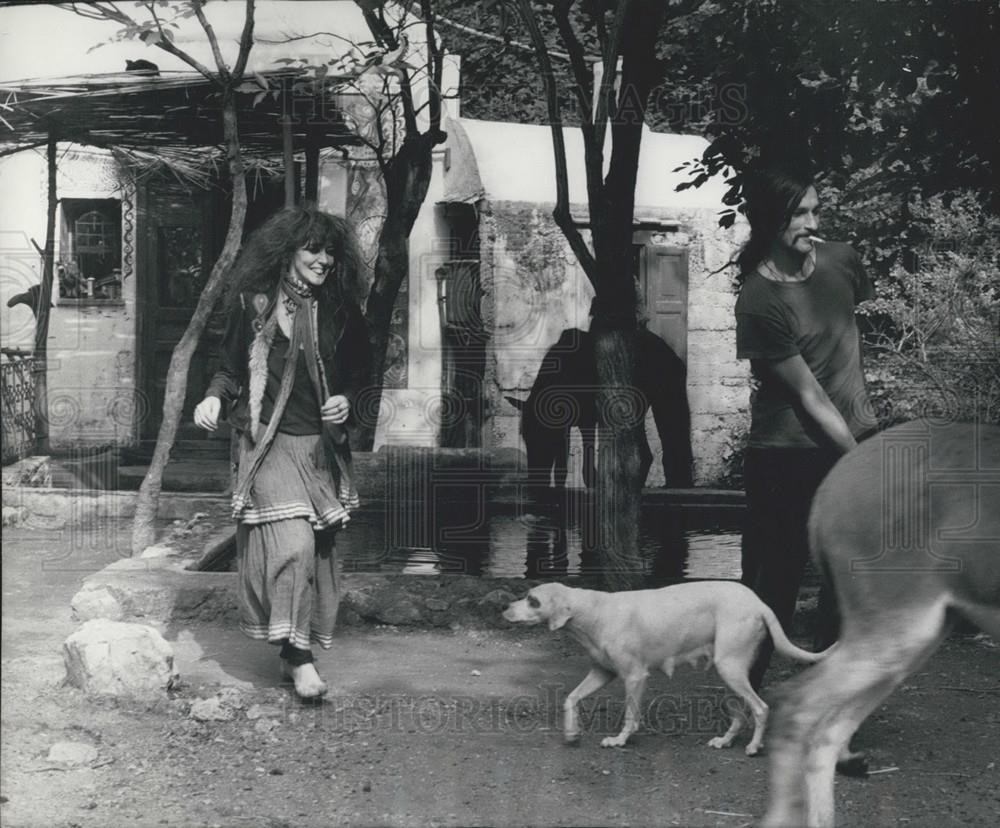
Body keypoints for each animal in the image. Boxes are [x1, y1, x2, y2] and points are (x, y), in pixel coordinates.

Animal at [504, 580, 832, 752]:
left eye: (532, 600)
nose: (505, 609)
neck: (591, 612)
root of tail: (758, 602)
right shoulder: (602, 673)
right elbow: (569, 699)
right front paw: (572, 733)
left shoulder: (634, 677)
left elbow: (631, 716)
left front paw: (620, 740)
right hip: (728, 674)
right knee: (741, 714)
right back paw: (725, 741)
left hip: (731, 670)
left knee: (761, 708)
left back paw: (753, 748)